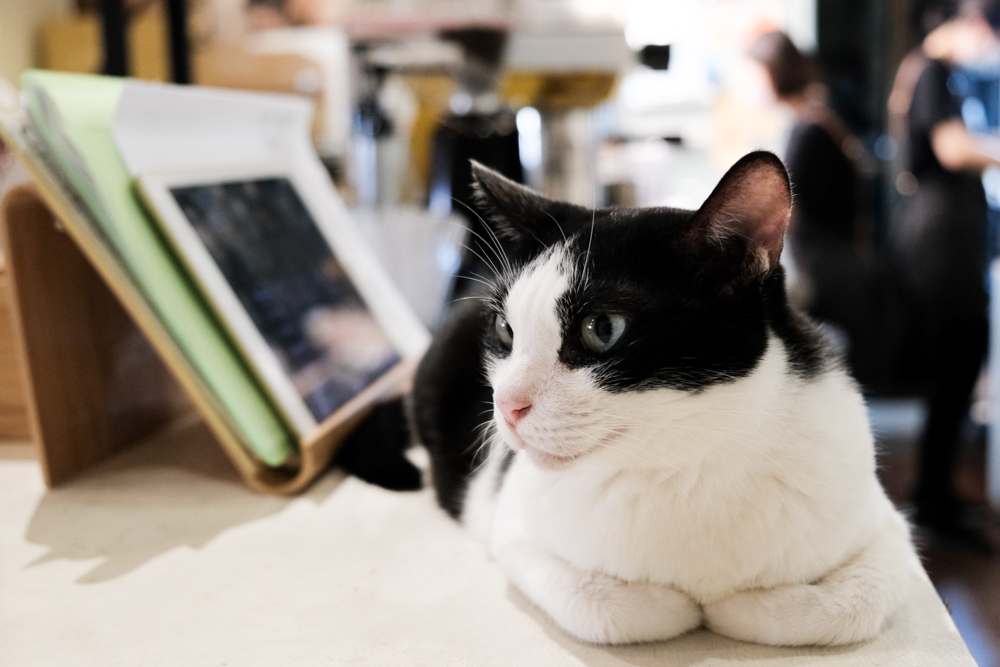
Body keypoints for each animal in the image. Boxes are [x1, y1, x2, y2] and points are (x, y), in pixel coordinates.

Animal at [342, 153, 916, 648]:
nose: (506, 406)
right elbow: (604, 608)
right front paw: (680, 606)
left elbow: (856, 601)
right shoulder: (509, 525)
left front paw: (741, 606)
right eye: (506, 331)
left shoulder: (886, 526)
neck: (688, 463)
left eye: (602, 329)